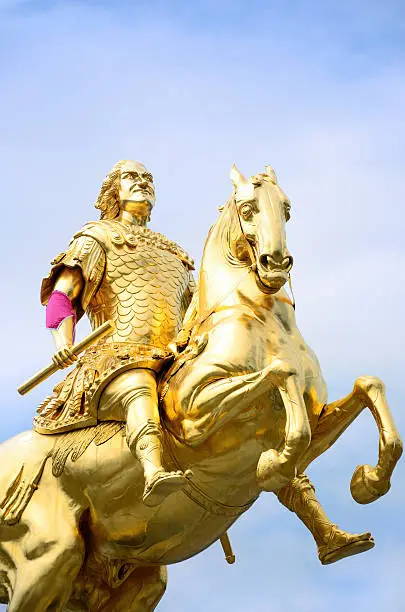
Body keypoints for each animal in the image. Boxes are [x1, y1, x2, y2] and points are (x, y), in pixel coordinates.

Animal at [0, 165, 400, 608]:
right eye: (247, 208)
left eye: (287, 208)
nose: (275, 263)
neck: (259, 320)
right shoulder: (195, 417)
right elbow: (281, 376)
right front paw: (274, 465)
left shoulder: (317, 420)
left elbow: (367, 387)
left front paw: (369, 481)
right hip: (49, 560)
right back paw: (161, 479)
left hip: (130, 580)